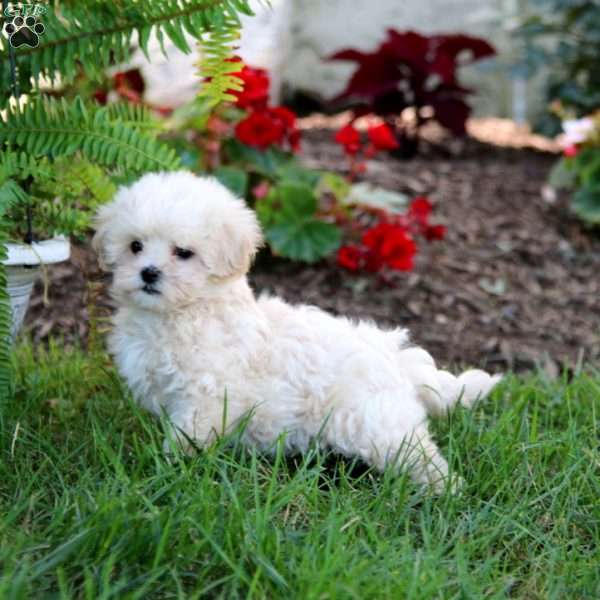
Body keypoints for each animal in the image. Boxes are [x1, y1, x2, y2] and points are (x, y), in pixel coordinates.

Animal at [95, 170, 502, 492]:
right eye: (135, 246)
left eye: (183, 252)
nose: (148, 273)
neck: (181, 313)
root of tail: (395, 357)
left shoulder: (206, 395)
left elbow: (187, 435)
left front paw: (169, 467)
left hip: (376, 423)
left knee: (416, 453)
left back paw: (444, 489)